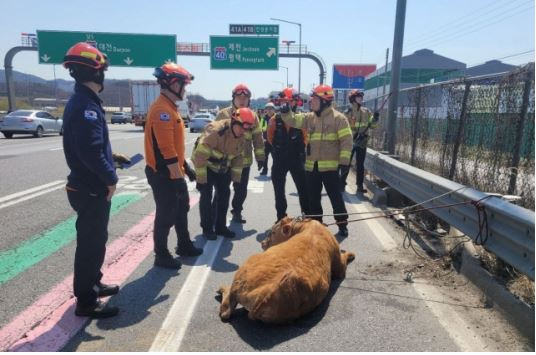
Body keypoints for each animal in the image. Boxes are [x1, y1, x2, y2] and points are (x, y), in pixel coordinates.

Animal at [216, 217, 354, 326]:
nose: (262, 243)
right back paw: (221, 287)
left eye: (272, 232)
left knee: (226, 311)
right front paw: (351, 254)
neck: (307, 227)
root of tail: (265, 294)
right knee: (226, 308)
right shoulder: (339, 267)